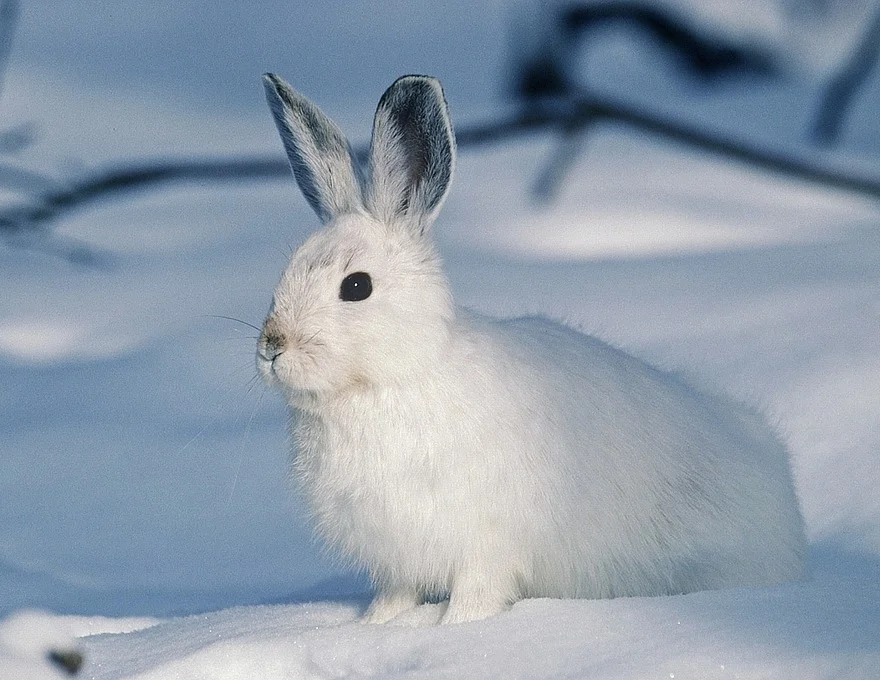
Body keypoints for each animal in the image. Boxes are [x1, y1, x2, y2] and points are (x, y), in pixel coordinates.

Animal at [258, 73, 808, 620]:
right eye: (284, 275)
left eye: (357, 287)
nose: (271, 347)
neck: (394, 377)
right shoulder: (398, 562)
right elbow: (396, 597)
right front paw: (378, 626)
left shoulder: (484, 547)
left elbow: (475, 596)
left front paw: (454, 628)